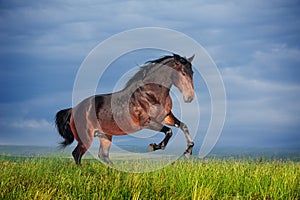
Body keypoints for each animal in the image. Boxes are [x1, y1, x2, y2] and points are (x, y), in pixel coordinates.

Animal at [55, 52, 196, 165]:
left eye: (192, 73)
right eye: (183, 73)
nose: (189, 98)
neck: (151, 94)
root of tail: (74, 109)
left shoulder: (166, 117)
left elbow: (183, 126)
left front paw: (188, 151)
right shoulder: (146, 122)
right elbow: (169, 131)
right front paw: (154, 146)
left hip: (105, 136)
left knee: (103, 155)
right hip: (86, 137)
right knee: (77, 154)